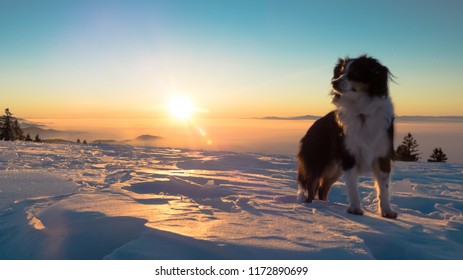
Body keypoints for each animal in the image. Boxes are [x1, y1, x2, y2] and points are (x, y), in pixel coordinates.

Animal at [298, 55, 398, 219]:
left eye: (355, 72)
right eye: (340, 72)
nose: (334, 82)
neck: (362, 112)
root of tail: (311, 128)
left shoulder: (382, 155)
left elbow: (383, 188)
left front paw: (387, 211)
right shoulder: (349, 156)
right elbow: (352, 187)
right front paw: (355, 209)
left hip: (335, 169)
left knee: (322, 188)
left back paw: (325, 204)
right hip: (319, 161)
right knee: (312, 186)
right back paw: (311, 206)